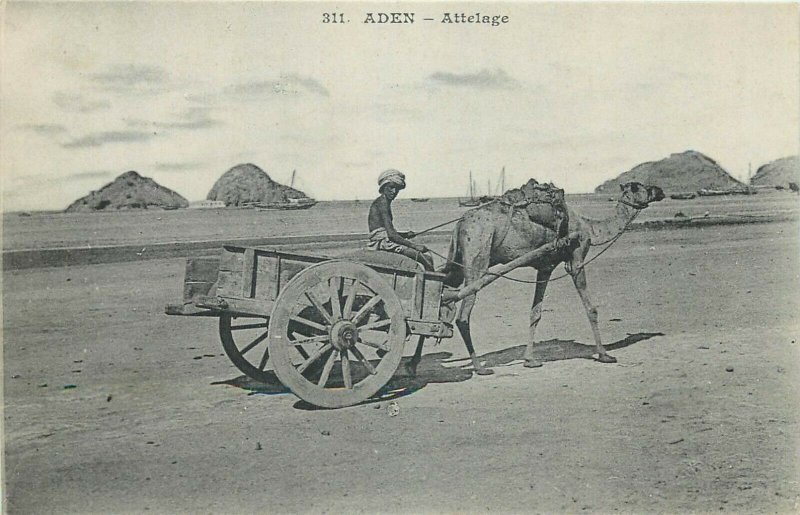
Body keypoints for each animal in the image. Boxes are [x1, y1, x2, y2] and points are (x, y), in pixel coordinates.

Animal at [410, 180, 664, 374]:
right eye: (640, 186)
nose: (660, 191)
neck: (590, 228)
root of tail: (461, 223)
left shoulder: (545, 266)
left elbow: (535, 313)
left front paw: (530, 360)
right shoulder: (576, 258)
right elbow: (590, 309)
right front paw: (604, 355)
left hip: (458, 261)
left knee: (433, 297)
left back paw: (412, 365)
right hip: (477, 259)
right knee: (462, 315)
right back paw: (479, 367)